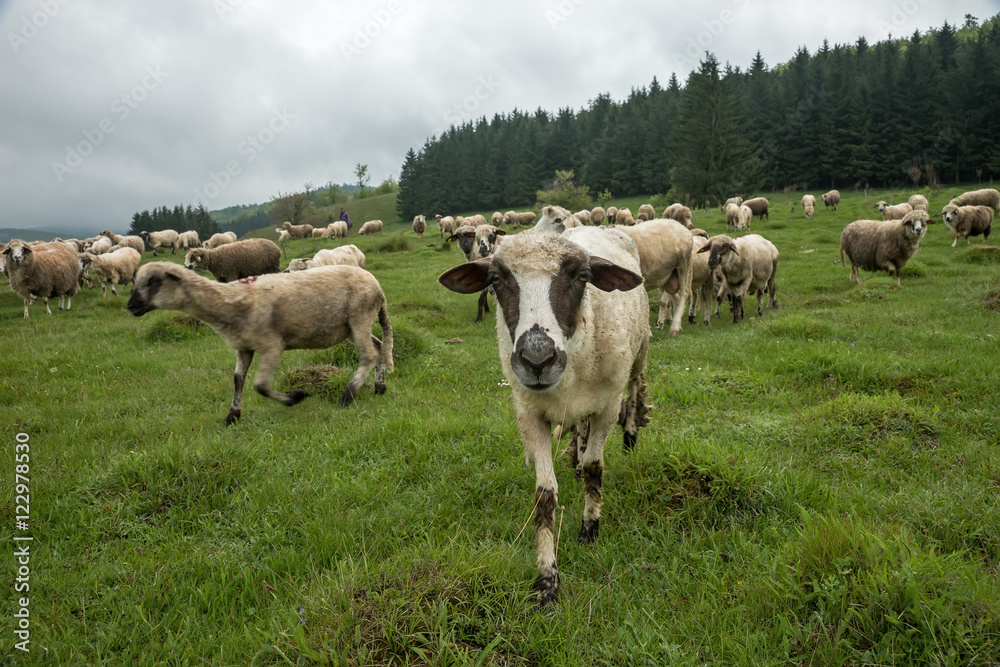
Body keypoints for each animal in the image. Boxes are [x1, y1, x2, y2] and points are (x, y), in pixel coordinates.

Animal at [127, 262, 393, 423]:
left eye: (153, 281)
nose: (131, 306)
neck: (230, 301)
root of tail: (378, 287)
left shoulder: (272, 344)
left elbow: (261, 386)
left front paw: (294, 397)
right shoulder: (243, 347)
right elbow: (238, 380)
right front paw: (232, 415)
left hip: (359, 316)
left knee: (369, 354)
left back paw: (348, 395)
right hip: (351, 326)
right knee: (379, 346)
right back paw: (379, 387)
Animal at [437, 226, 650, 605]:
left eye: (583, 276)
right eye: (495, 279)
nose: (537, 360)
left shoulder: (608, 406)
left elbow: (596, 468)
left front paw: (590, 530)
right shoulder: (529, 413)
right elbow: (545, 494)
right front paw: (547, 580)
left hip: (638, 356)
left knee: (637, 386)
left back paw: (629, 436)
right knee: (579, 428)